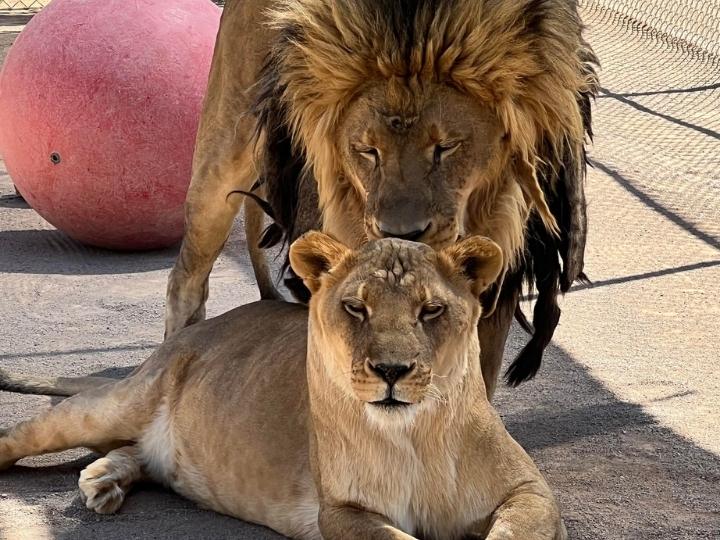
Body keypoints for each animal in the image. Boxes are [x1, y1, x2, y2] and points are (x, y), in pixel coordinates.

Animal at [1, 234, 566, 540]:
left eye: (431, 311)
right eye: (355, 307)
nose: (392, 370)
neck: (414, 436)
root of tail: (188, 334)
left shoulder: (530, 491)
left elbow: (515, 526)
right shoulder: (340, 511)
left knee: (132, 451)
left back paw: (105, 480)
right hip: (119, 403)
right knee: (35, 430)